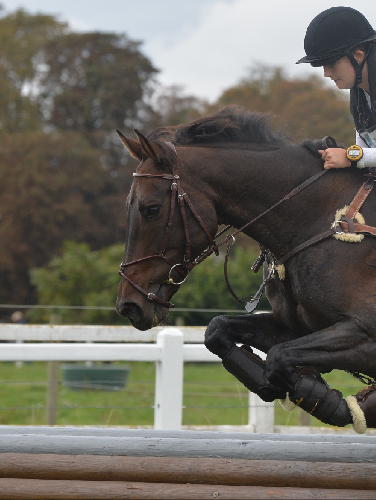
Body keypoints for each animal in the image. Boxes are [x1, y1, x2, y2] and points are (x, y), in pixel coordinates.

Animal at [116, 106, 376, 434]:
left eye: (151, 209)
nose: (128, 305)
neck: (320, 221)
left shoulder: (364, 333)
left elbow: (279, 356)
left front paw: (325, 398)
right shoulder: (297, 327)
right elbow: (219, 330)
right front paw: (290, 385)